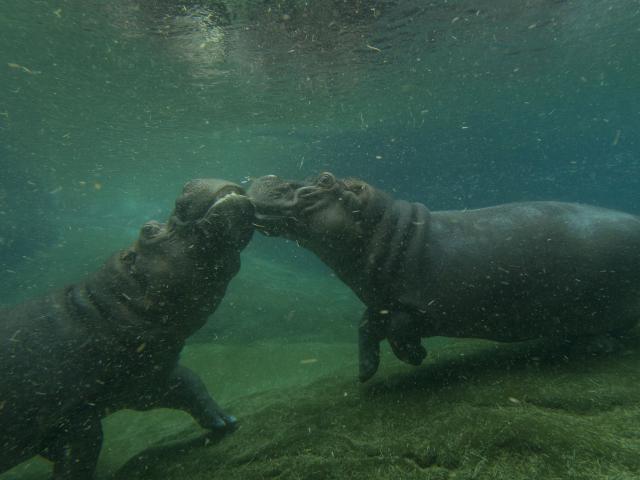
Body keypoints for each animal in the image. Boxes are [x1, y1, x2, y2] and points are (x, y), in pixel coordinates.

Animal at [0, 179, 255, 476]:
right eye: (148, 229)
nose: (189, 184)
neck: (101, 307)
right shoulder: (70, 417)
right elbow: (83, 452)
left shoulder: (144, 381)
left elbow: (189, 381)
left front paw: (225, 421)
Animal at [248, 172, 640, 382]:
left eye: (325, 180)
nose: (268, 177)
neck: (390, 230)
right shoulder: (382, 303)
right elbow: (366, 326)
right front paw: (365, 374)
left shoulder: (423, 304)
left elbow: (398, 327)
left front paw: (415, 356)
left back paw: (594, 346)